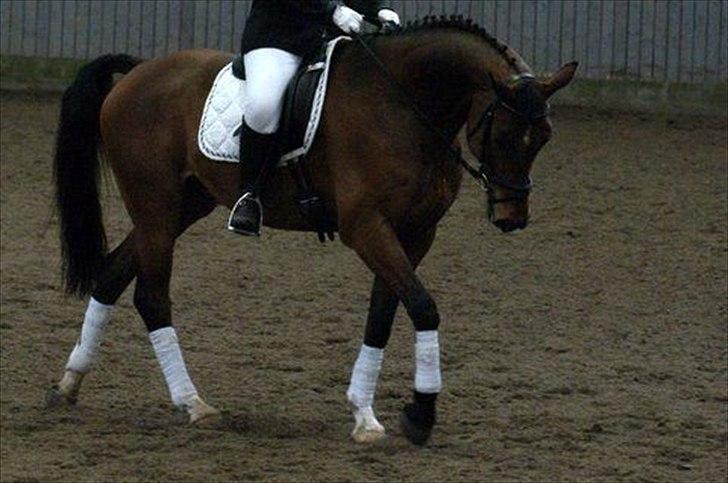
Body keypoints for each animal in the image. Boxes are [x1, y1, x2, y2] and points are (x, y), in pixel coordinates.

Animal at [47, 16, 576, 445]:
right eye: (503, 134)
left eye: (545, 137)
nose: (511, 216)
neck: (402, 103)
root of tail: (140, 70)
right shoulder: (365, 227)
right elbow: (424, 307)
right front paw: (420, 416)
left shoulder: (416, 233)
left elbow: (383, 315)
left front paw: (366, 416)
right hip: (155, 206)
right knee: (151, 298)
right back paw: (193, 405)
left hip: (183, 206)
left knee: (112, 276)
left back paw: (69, 384)